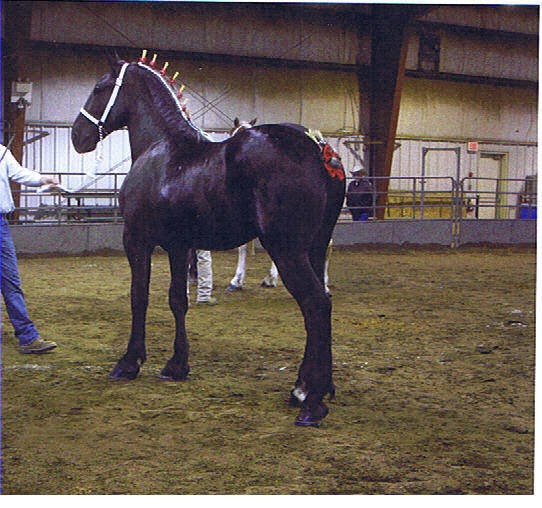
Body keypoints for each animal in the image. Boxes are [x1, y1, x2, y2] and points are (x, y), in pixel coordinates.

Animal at [72, 54, 346, 424]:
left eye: (100, 88)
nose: (78, 135)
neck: (162, 149)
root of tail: (319, 147)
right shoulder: (178, 246)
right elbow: (177, 300)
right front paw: (176, 366)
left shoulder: (137, 240)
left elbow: (138, 297)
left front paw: (129, 363)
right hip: (314, 247)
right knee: (321, 302)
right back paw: (307, 387)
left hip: (287, 250)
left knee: (316, 304)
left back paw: (312, 402)